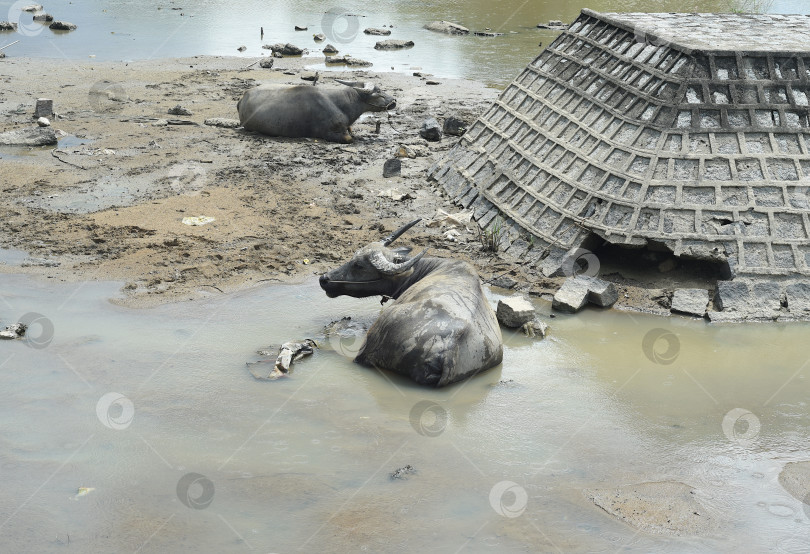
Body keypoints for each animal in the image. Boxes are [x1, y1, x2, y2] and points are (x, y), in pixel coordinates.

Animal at [235, 81, 396, 144]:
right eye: (378, 91)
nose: (394, 100)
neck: (341, 104)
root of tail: (243, 97)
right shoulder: (331, 132)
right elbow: (350, 138)